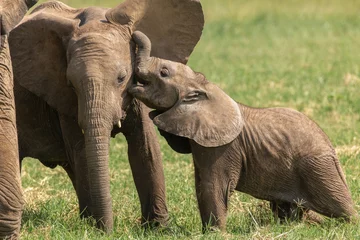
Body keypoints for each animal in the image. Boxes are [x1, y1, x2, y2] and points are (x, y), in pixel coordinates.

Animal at [8, 0, 204, 232]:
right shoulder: (61, 95)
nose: (109, 230)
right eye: (71, 84)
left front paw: (158, 228)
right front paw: (95, 227)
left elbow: (145, 147)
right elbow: (80, 149)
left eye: (121, 78)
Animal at [128, 31, 356, 232]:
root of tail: (332, 149)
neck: (202, 87)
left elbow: (213, 186)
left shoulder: (223, 146)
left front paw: (215, 233)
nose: (133, 35)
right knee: (290, 209)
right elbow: (201, 184)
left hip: (318, 169)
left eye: (163, 73)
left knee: (341, 209)